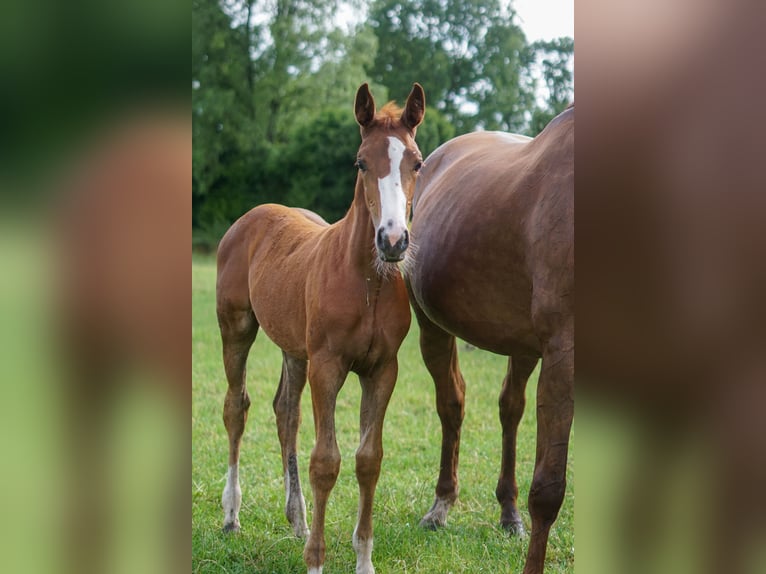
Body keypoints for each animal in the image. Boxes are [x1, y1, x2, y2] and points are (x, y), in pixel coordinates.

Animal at [218, 82, 426, 574]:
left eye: (417, 162)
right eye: (361, 162)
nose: (393, 241)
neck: (367, 283)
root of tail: (252, 215)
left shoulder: (382, 370)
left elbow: (369, 459)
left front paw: (364, 559)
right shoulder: (327, 367)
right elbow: (326, 462)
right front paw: (316, 560)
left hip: (295, 349)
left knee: (285, 412)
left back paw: (297, 518)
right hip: (236, 327)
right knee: (237, 407)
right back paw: (232, 515)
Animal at [408, 108, 576, 574]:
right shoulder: (564, 355)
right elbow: (549, 489)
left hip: (523, 347)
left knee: (509, 409)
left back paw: (508, 512)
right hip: (432, 327)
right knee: (452, 404)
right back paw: (440, 506)